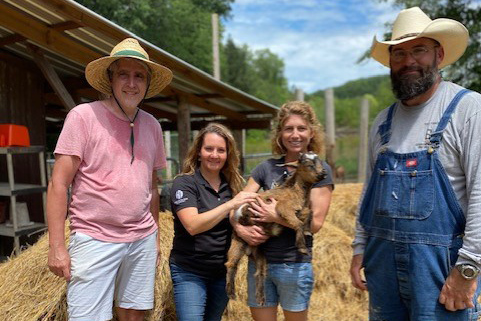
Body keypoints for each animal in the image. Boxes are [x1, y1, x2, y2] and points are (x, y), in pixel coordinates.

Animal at [226, 151, 326, 304]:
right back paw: (231, 293)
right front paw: (302, 247)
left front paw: (308, 230)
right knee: (231, 263)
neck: (295, 191)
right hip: (238, 240)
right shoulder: (282, 207)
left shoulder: (301, 210)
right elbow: (297, 223)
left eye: (320, 162)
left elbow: (310, 212)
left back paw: (261, 297)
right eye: (309, 165)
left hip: (259, 252)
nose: (323, 173)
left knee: (260, 271)